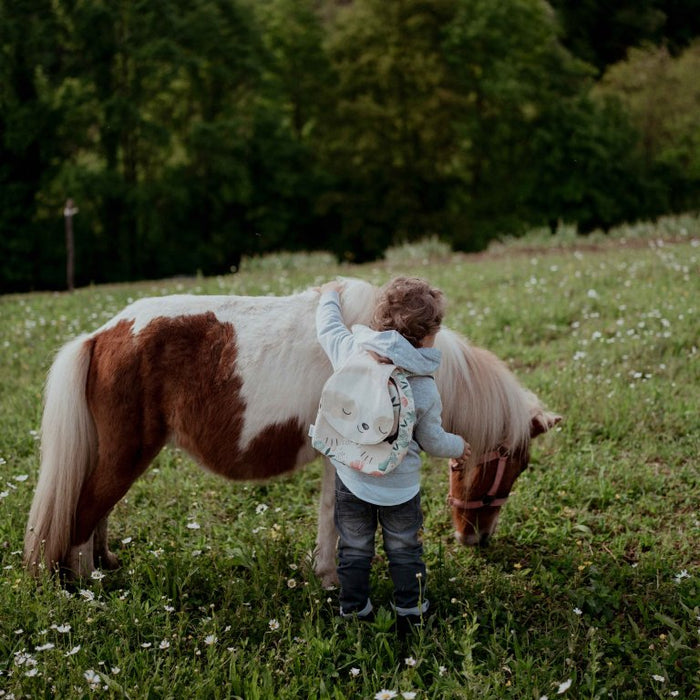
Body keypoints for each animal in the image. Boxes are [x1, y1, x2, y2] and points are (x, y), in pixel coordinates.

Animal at [23, 276, 556, 584]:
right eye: (513, 464)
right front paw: (332, 581)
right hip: (126, 454)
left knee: (98, 510)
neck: (383, 347)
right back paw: (86, 583)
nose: (476, 539)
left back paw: (105, 565)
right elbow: (335, 518)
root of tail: (103, 335)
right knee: (85, 512)